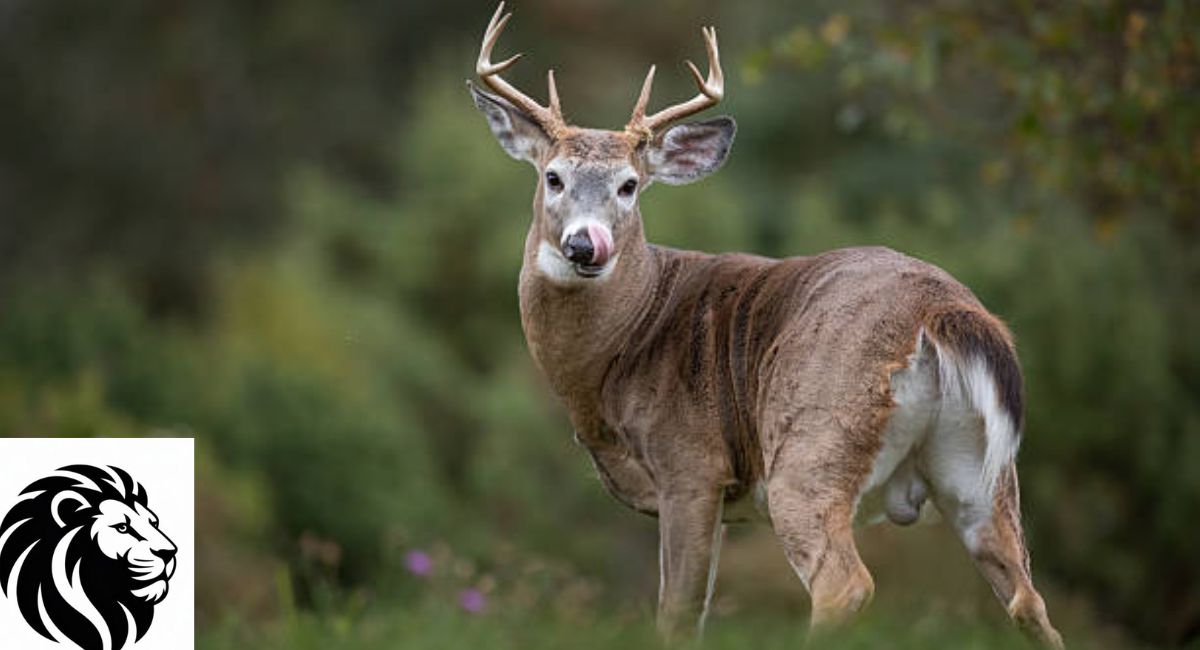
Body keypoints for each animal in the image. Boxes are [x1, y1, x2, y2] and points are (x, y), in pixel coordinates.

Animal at [467, 3, 1063, 647]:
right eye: (552, 177)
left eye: (629, 185)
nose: (586, 244)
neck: (620, 349)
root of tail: (940, 311)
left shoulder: (690, 465)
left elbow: (677, 613)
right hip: (980, 471)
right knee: (1028, 600)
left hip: (811, 442)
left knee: (844, 585)